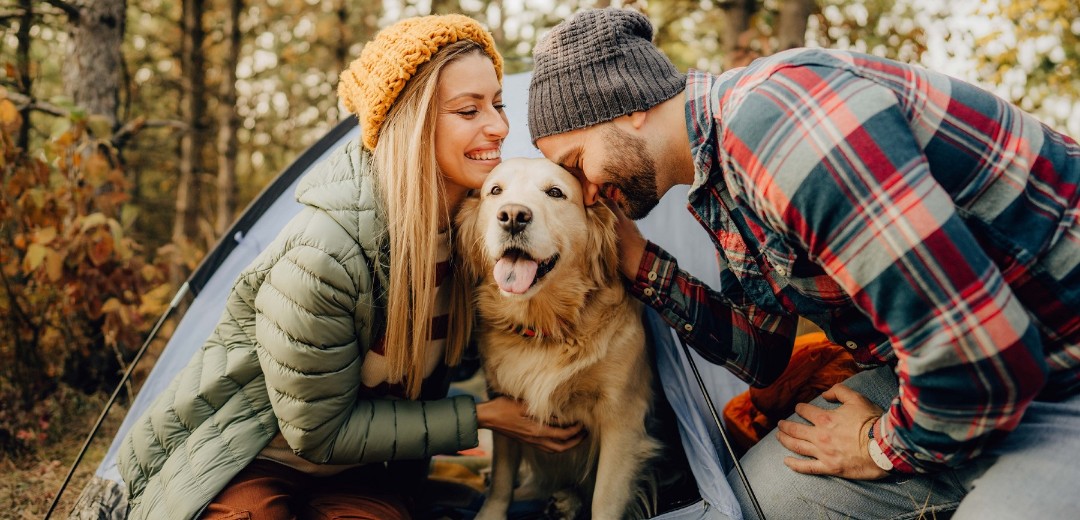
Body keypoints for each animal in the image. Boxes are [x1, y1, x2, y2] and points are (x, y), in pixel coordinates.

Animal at [453, 157, 656, 518]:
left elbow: (605, 500)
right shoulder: (503, 406)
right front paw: (490, 512)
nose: (513, 216)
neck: (548, 328)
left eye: (556, 193)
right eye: (495, 190)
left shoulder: (623, 418)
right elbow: (502, 479)